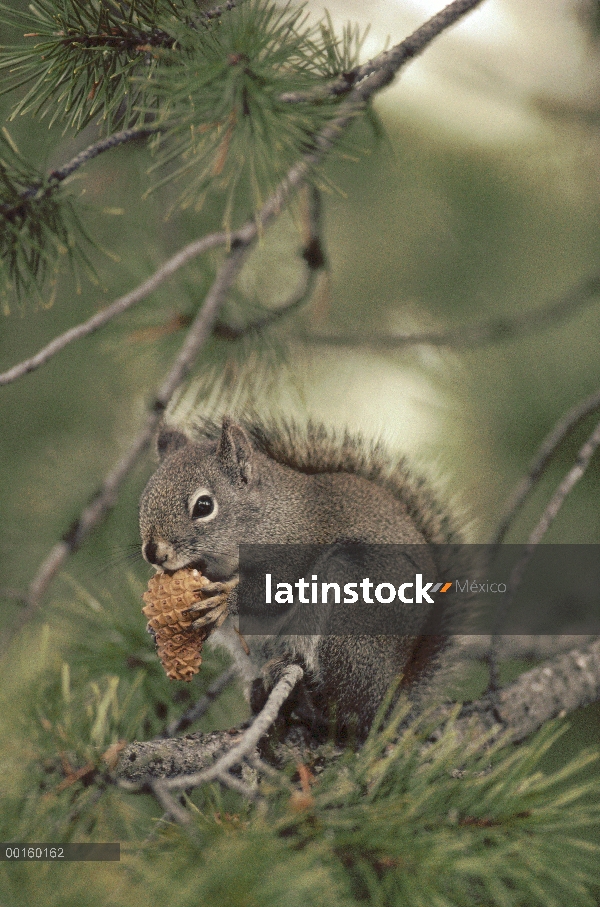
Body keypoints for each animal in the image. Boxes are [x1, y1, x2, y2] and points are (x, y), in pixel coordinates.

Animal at [139, 416, 464, 736]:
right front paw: (156, 630)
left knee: (348, 712)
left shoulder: (295, 551)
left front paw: (226, 599)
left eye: (204, 506)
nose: (153, 553)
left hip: (351, 610)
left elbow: (271, 591)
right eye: (143, 503)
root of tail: (391, 697)